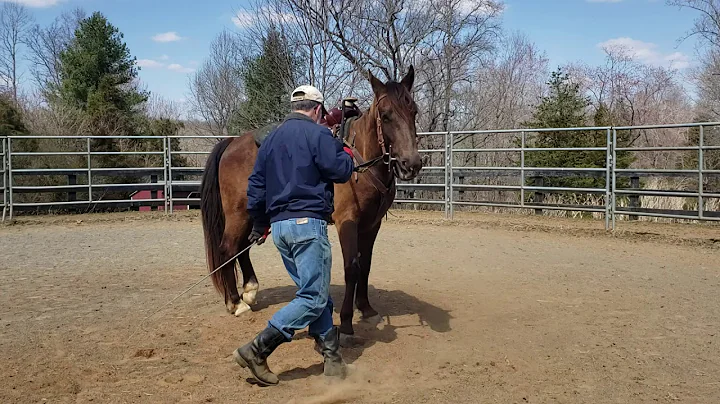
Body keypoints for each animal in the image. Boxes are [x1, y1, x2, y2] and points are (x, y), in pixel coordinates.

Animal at [198, 68, 422, 340]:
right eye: (386, 115)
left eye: (414, 111)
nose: (411, 164)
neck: (359, 161)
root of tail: (232, 142)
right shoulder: (347, 222)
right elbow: (352, 267)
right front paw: (346, 322)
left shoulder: (372, 224)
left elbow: (366, 265)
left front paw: (366, 308)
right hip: (237, 214)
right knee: (228, 249)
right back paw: (236, 303)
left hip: (252, 215)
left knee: (243, 248)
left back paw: (250, 291)